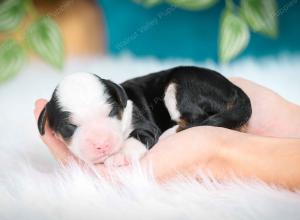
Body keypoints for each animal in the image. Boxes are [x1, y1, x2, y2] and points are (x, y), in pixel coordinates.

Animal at [38, 66, 252, 166]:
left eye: (112, 113)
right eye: (70, 127)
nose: (102, 144)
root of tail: (234, 89)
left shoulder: (146, 126)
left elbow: (137, 137)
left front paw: (120, 155)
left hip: (182, 85)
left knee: (196, 119)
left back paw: (169, 134)